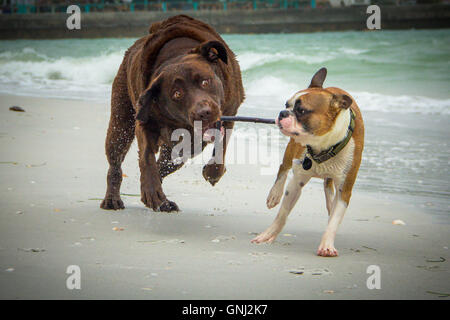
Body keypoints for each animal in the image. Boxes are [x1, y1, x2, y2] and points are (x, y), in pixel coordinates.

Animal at [251, 69, 364, 256]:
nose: (282, 112)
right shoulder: (296, 183)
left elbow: (334, 220)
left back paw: (330, 203)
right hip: (291, 149)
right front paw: (268, 234)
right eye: (286, 104)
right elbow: (282, 214)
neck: (322, 146)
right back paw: (274, 194)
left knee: (328, 186)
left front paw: (327, 245)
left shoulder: (345, 190)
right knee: (283, 168)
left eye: (302, 110)